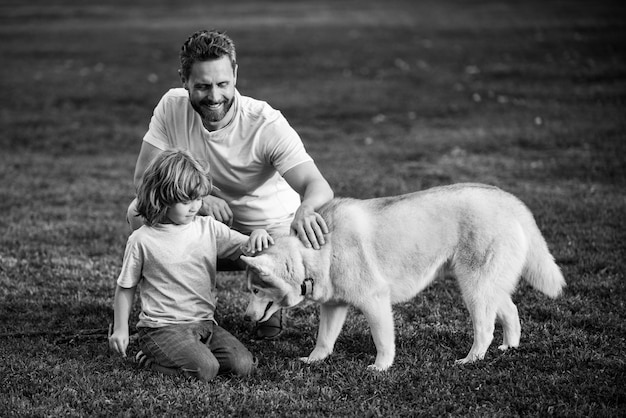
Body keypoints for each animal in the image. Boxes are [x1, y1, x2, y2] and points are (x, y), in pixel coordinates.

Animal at [239, 183, 560, 370]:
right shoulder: (334, 306)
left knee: (485, 329)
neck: (317, 252)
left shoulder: (375, 300)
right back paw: (509, 347)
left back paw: (471, 358)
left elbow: (383, 341)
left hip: (473, 287)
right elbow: (324, 339)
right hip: (486, 284)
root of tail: (506, 197)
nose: (244, 317)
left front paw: (381, 367)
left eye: (255, 290)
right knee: (511, 310)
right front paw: (315, 360)